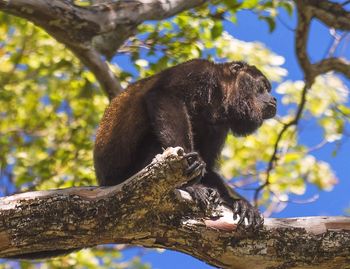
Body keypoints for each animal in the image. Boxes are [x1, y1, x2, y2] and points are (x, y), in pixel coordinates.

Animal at [93, 58, 276, 226]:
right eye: (263, 86)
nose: (273, 99)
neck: (218, 97)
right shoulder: (198, 69)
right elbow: (165, 95)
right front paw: (192, 163)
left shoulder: (219, 127)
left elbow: (209, 166)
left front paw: (238, 203)